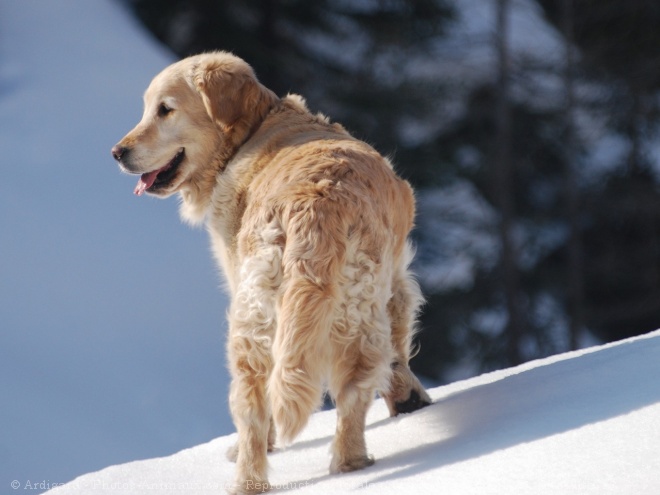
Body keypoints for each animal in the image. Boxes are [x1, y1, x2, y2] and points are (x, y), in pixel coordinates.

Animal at [112, 52, 434, 494]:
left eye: (165, 110)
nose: (116, 152)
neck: (253, 132)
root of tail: (317, 203)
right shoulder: (396, 278)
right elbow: (398, 348)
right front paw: (409, 399)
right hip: (337, 315)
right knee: (349, 389)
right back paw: (344, 466)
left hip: (256, 319)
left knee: (258, 406)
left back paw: (262, 476)